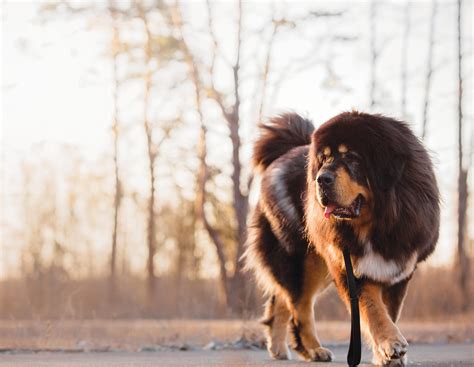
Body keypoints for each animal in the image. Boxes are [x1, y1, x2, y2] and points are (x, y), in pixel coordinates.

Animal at [244, 110, 440, 366]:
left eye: (352, 157)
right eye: (325, 159)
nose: (321, 178)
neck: (378, 225)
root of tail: (284, 154)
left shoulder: (399, 269)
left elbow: (389, 311)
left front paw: (385, 354)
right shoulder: (350, 267)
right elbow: (373, 310)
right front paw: (391, 344)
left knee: (283, 300)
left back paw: (280, 348)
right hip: (303, 259)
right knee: (299, 307)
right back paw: (314, 350)